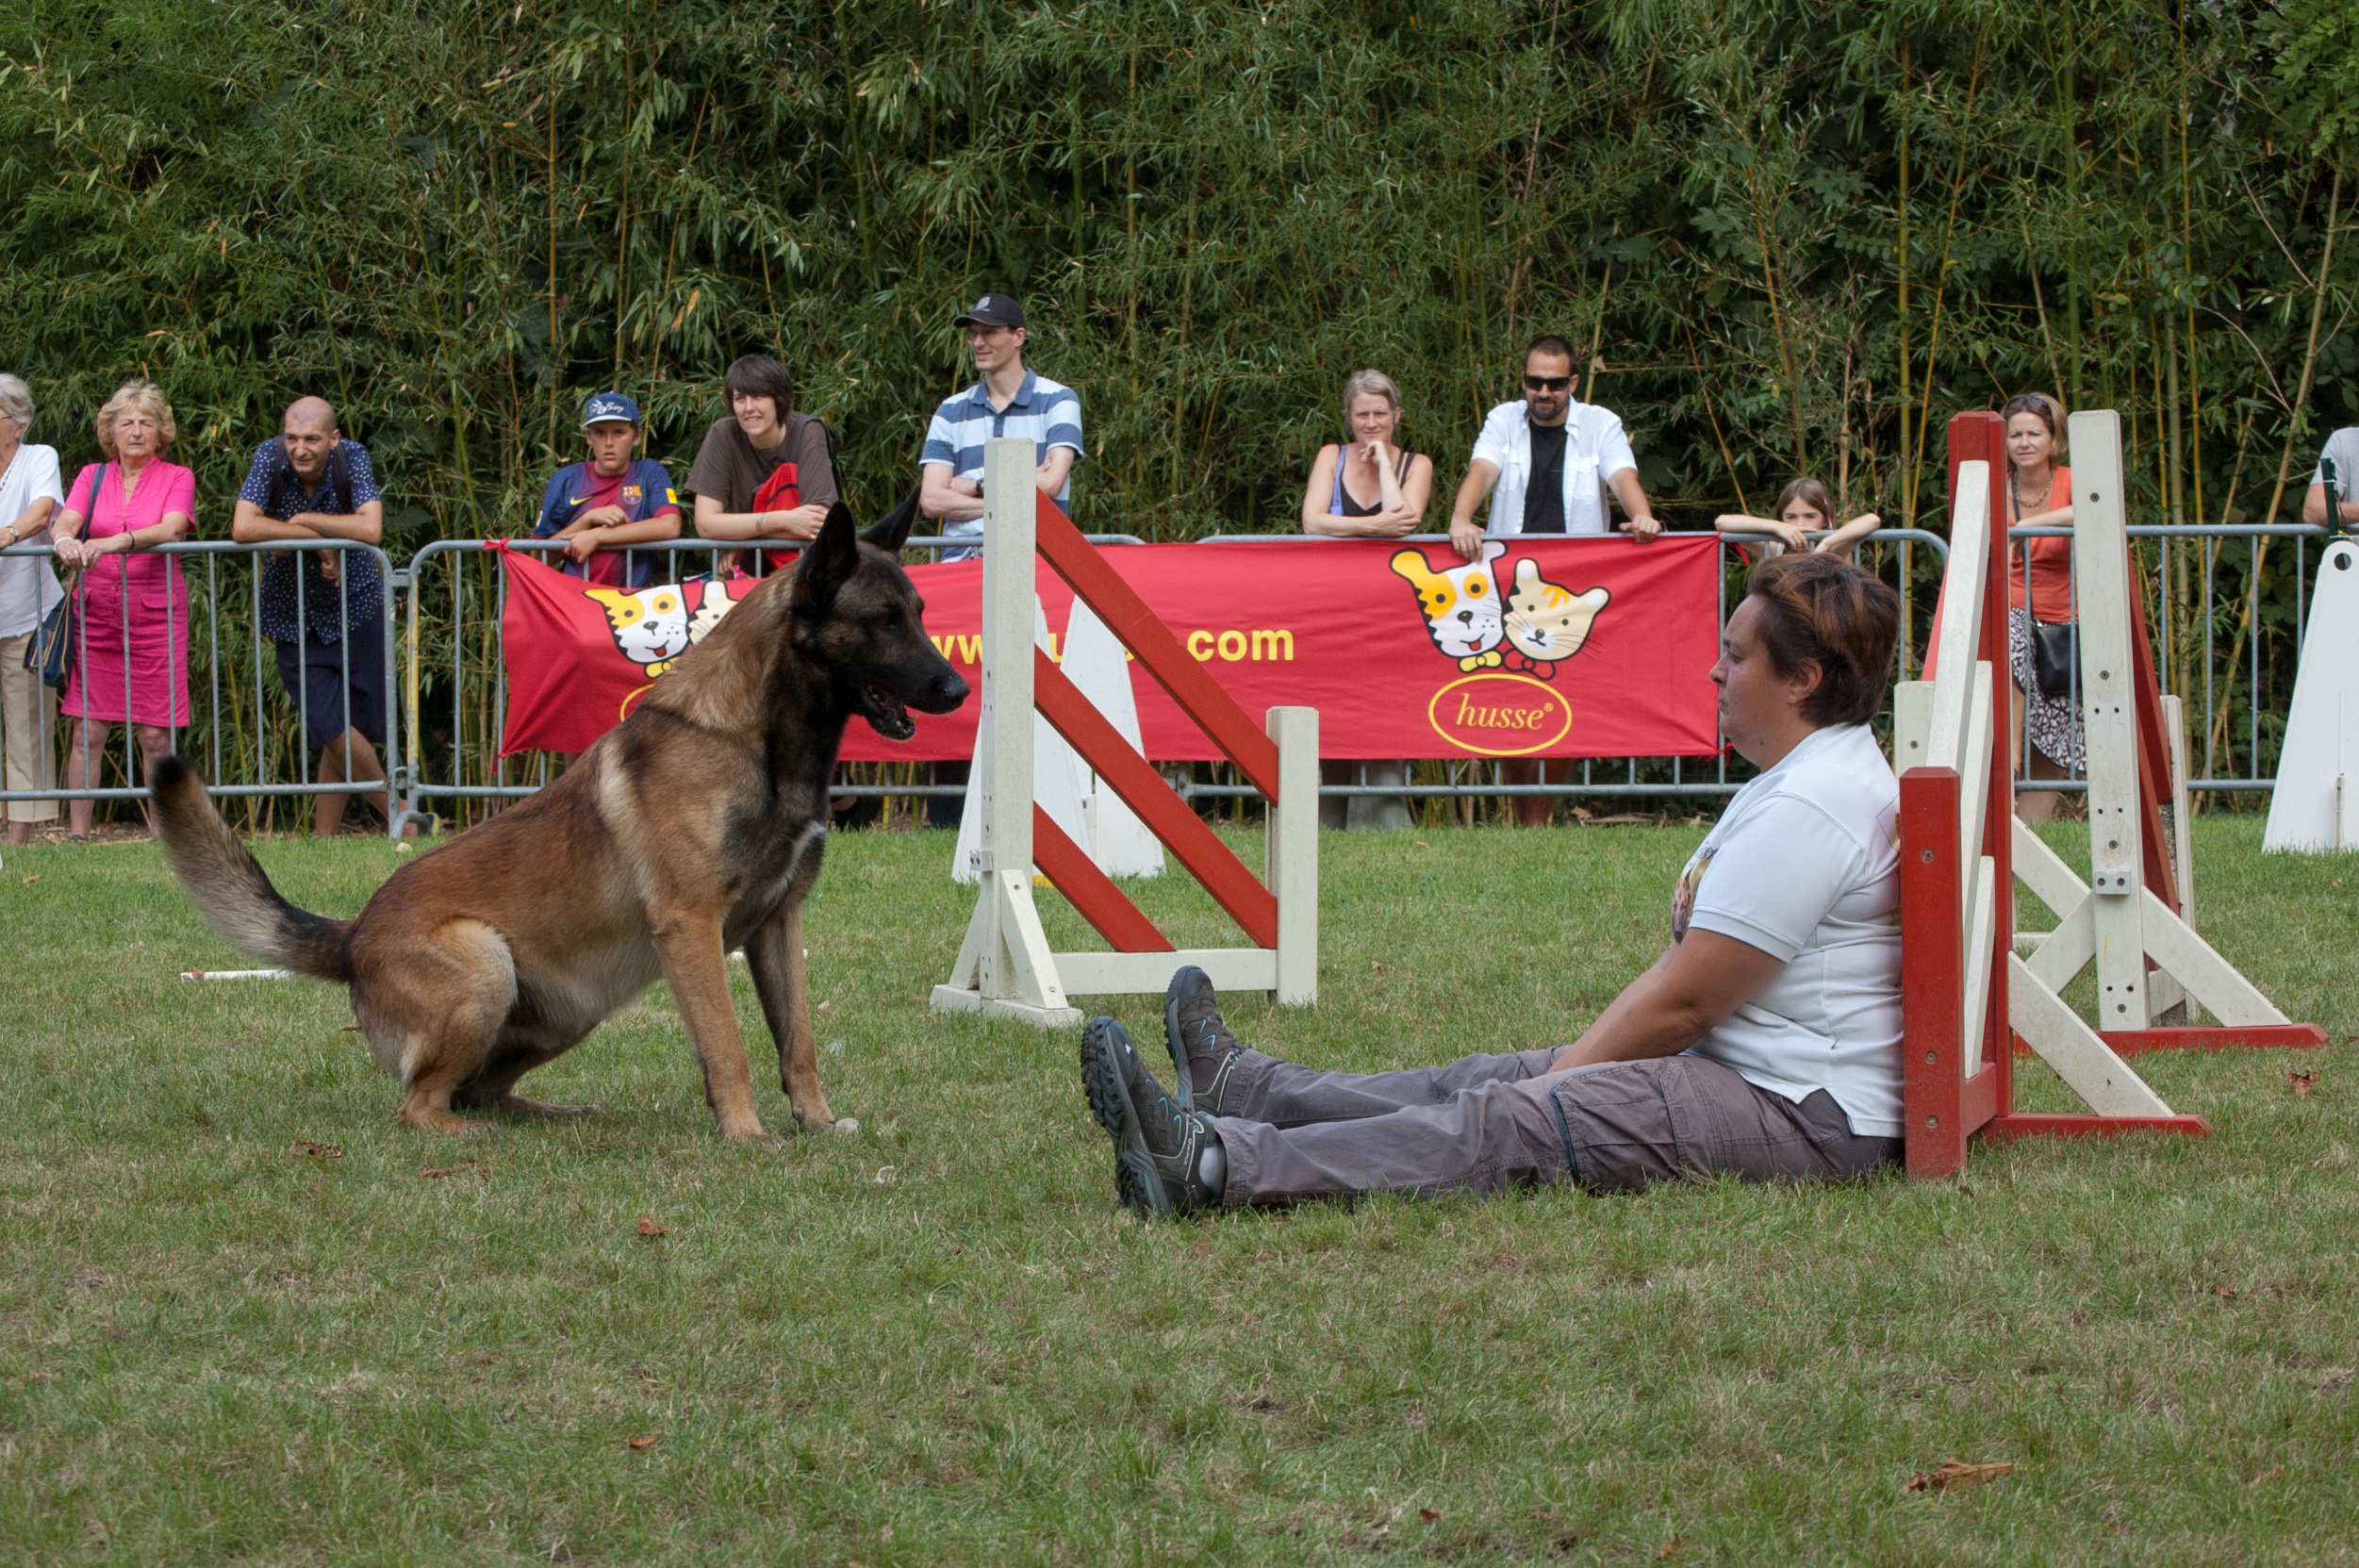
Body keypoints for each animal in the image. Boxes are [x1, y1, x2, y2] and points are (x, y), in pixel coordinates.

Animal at [150, 492, 968, 1141]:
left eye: (922, 613)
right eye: (883, 620)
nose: (959, 689)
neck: (756, 736)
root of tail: (353, 935)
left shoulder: (777, 923)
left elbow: (797, 1039)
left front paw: (818, 1122)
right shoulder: (691, 925)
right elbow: (729, 1042)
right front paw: (746, 1133)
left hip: (570, 1008)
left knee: (480, 1091)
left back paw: (553, 1114)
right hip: (487, 966)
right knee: (420, 1105)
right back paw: (474, 1134)